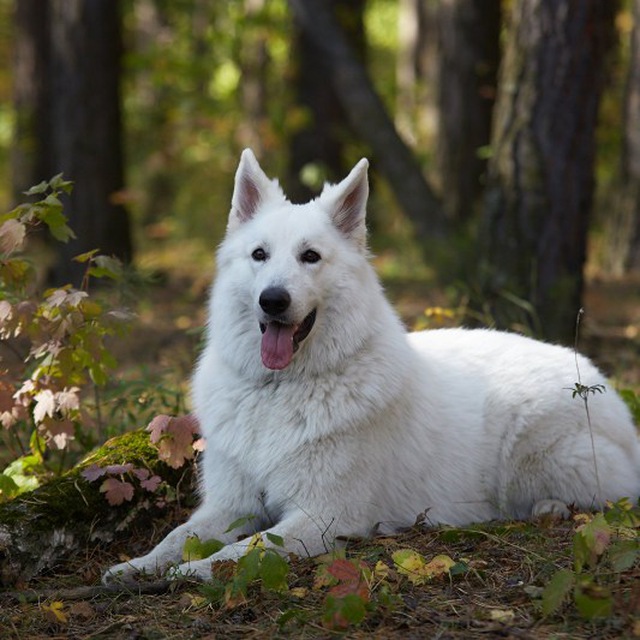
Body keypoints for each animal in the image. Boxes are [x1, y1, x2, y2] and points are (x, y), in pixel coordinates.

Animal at [105, 151, 640, 584]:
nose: (272, 300)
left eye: (310, 257)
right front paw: (137, 567)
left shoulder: (322, 515)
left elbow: (244, 551)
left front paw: (193, 571)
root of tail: (599, 379)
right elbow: (178, 535)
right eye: (259, 255)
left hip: (534, 459)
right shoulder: (228, 505)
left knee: (606, 494)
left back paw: (551, 508)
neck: (280, 388)